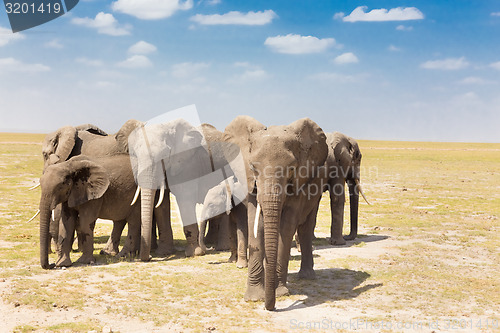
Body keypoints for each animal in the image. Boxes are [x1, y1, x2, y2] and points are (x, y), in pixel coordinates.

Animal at [224, 115, 328, 310]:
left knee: (305, 228)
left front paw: (279, 293)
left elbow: (286, 228)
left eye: (291, 169)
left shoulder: (299, 182)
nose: (270, 307)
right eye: (253, 168)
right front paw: (254, 298)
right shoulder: (250, 182)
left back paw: (307, 276)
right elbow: (255, 226)